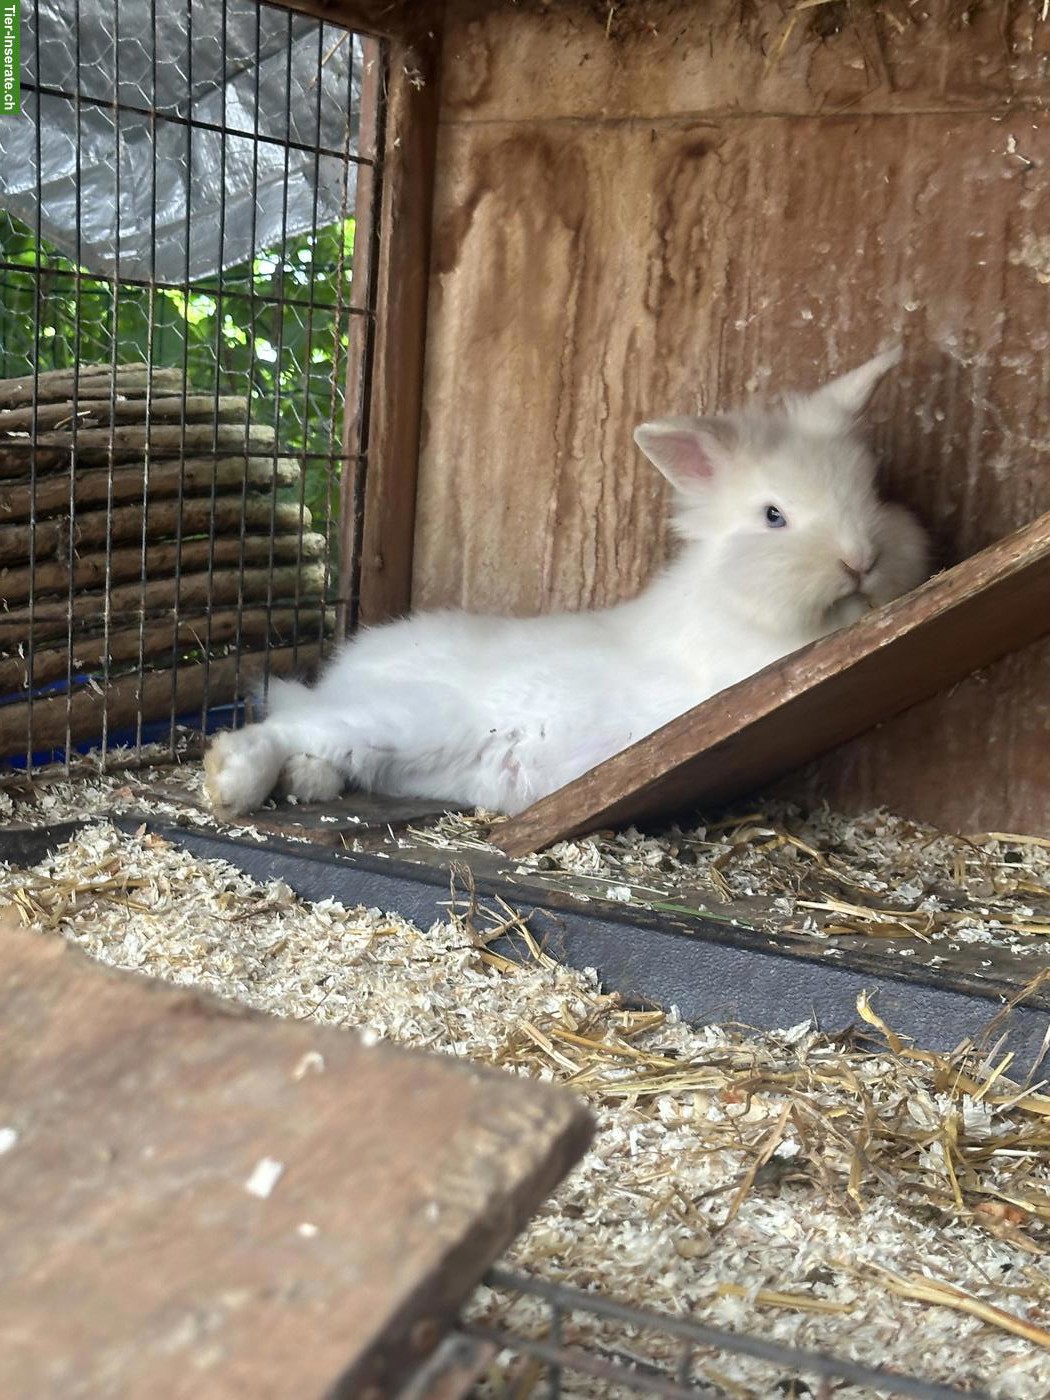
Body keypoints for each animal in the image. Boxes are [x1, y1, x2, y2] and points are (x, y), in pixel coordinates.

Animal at [204, 344, 930, 819]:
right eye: (774, 515)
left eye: (874, 492)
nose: (860, 560)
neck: (734, 604)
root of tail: (347, 671)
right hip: (409, 718)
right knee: (284, 726)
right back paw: (229, 783)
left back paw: (305, 782)